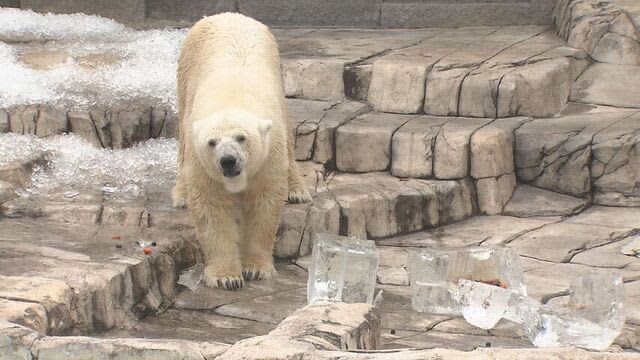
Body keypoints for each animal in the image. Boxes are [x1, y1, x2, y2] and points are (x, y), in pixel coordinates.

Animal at [170, 12, 310, 292]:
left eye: (241, 138)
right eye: (212, 142)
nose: (228, 161)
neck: (232, 99)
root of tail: (227, 14)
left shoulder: (269, 152)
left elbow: (264, 204)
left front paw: (256, 268)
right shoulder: (202, 162)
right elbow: (211, 207)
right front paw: (226, 276)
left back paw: (298, 190)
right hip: (187, 72)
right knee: (182, 136)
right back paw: (180, 194)